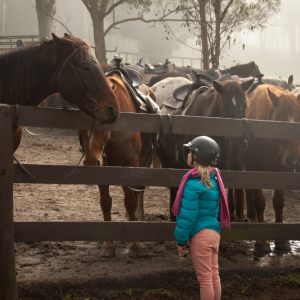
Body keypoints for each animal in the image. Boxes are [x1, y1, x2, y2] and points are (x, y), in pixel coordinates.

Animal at [78, 73, 156, 258]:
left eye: (104, 120)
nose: (91, 162)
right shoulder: (103, 168)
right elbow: (106, 203)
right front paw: (108, 244)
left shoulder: (131, 165)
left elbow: (131, 202)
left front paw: (135, 243)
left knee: (137, 193)